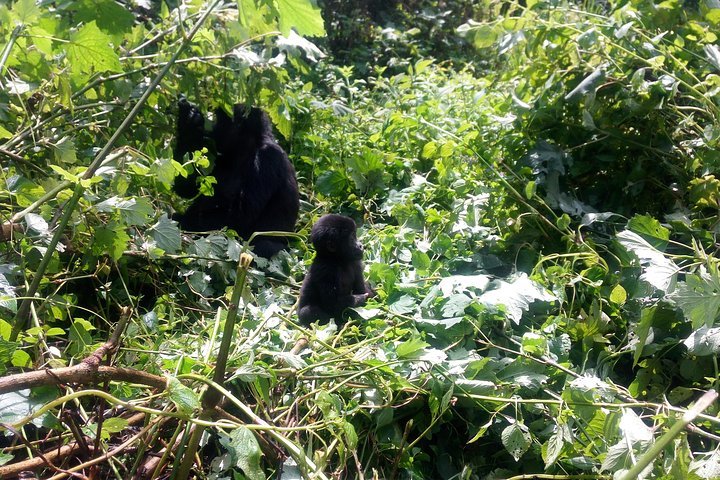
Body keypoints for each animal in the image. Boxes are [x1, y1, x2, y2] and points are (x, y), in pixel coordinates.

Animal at [173, 97, 300, 258]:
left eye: (218, 119)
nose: (211, 129)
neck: (248, 145)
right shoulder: (224, 155)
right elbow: (187, 187)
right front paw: (188, 123)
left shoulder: (268, 156)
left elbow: (240, 215)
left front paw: (185, 223)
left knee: (264, 246)